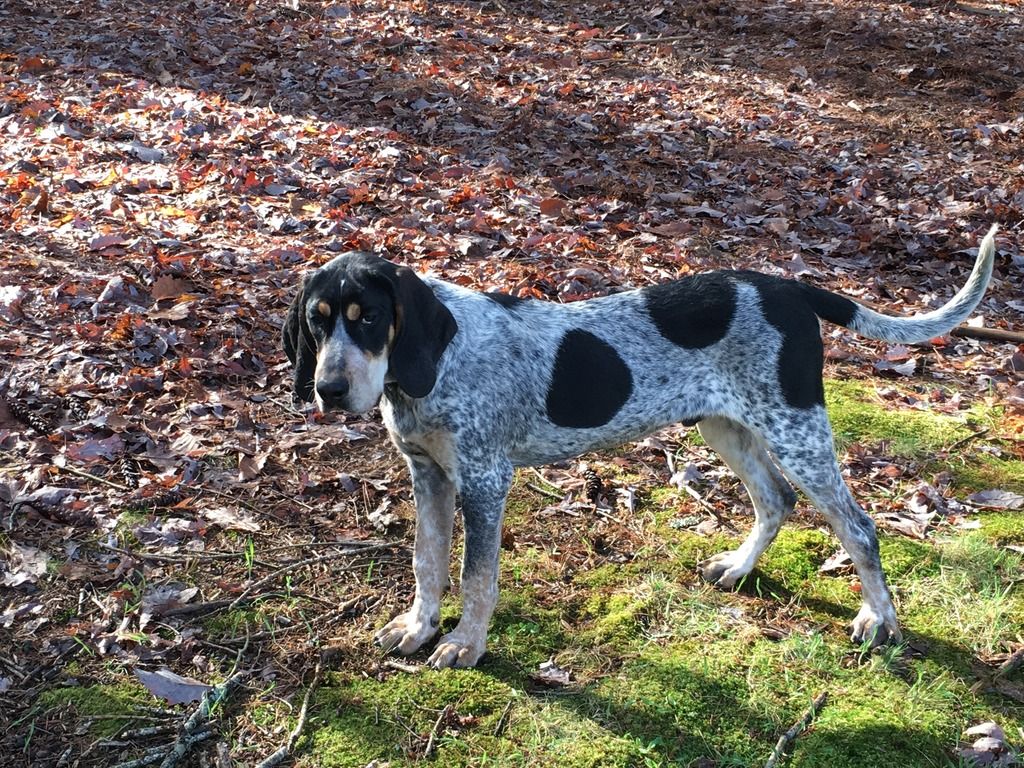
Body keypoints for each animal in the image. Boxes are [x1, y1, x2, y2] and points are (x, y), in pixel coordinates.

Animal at [283, 225, 997, 669]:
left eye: (370, 319)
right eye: (317, 324)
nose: (327, 391)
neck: (428, 371)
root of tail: (789, 286)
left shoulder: (485, 481)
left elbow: (475, 576)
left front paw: (465, 644)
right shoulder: (428, 474)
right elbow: (427, 563)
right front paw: (420, 626)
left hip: (796, 432)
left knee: (860, 527)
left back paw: (879, 618)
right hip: (725, 426)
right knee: (776, 500)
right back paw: (740, 569)